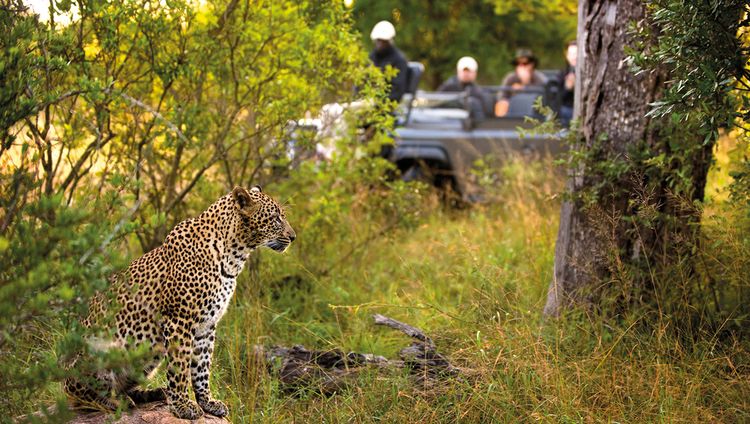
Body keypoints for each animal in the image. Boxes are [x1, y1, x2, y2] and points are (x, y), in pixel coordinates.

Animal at [64, 186, 296, 420]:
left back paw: (152, 393)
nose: (293, 237)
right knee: (80, 394)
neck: (234, 257)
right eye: (275, 218)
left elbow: (202, 367)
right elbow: (180, 367)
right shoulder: (180, 320)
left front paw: (207, 402)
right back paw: (113, 402)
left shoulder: (207, 326)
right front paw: (183, 406)